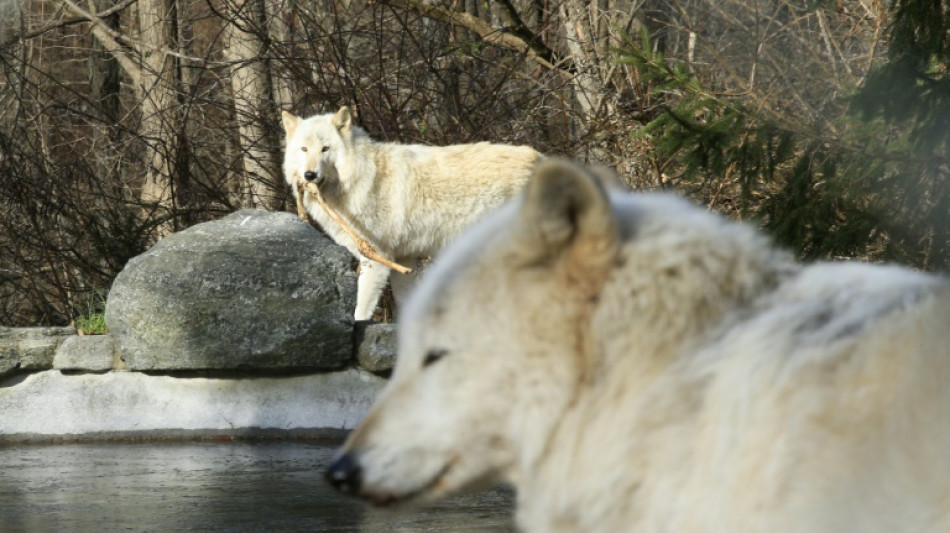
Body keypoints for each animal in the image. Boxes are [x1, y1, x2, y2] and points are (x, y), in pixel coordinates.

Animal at [280, 106, 544, 318]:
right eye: (304, 149)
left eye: (325, 149)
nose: (309, 175)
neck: (355, 179)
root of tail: (543, 159)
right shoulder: (403, 260)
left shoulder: (376, 259)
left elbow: (360, 312)